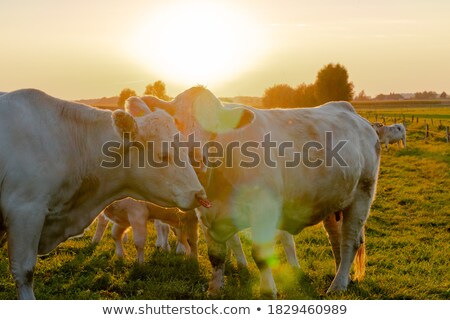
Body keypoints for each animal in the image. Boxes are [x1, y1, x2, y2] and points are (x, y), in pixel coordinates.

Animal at [129, 87, 380, 298]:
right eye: (176, 122)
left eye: (216, 125)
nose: (194, 157)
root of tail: (349, 111)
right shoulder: (207, 216)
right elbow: (216, 256)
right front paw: (214, 289)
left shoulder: (264, 209)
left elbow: (260, 254)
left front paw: (268, 290)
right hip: (334, 202)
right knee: (337, 240)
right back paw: (342, 276)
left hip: (362, 194)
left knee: (350, 241)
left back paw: (338, 285)